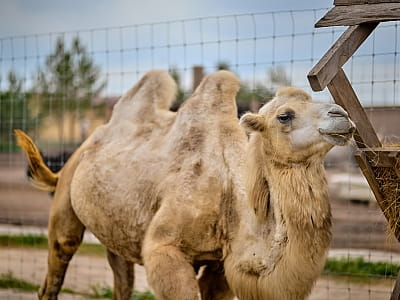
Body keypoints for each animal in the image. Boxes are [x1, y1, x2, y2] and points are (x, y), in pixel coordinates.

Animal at [15, 69, 354, 298]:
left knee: (121, 278)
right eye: (285, 116)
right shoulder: (164, 251)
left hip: (115, 229)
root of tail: (81, 147)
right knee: (59, 256)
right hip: (66, 198)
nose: (342, 115)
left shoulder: (220, 266)